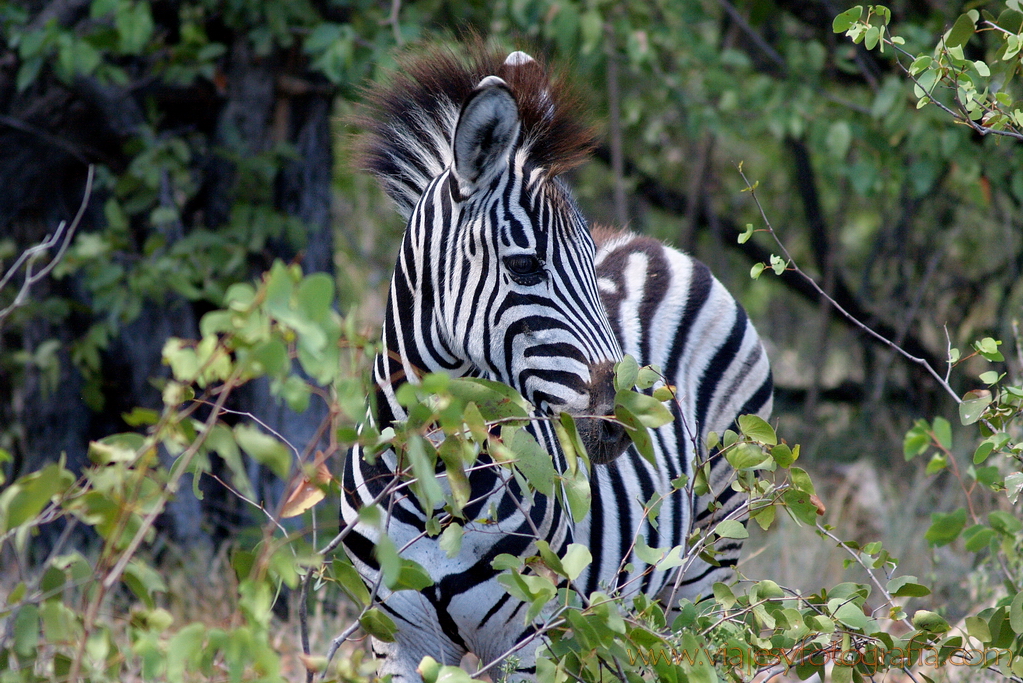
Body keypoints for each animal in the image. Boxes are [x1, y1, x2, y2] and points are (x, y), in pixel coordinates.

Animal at [340, 44, 773, 681]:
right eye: (524, 267)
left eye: (591, 266)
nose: (621, 423)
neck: (437, 477)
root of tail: (652, 246)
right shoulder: (394, 641)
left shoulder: (528, 638)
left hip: (706, 560)